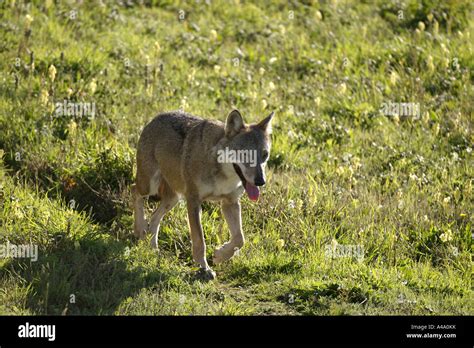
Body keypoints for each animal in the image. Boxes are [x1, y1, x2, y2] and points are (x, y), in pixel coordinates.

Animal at [132, 110, 274, 278]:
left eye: (265, 155)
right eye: (245, 155)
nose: (260, 181)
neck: (222, 174)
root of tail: (156, 117)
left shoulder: (230, 203)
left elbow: (240, 239)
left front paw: (220, 255)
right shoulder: (193, 201)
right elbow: (200, 241)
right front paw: (204, 268)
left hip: (174, 198)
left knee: (154, 217)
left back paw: (153, 249)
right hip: (150, 186)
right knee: (134, 191)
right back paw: (140, 229)